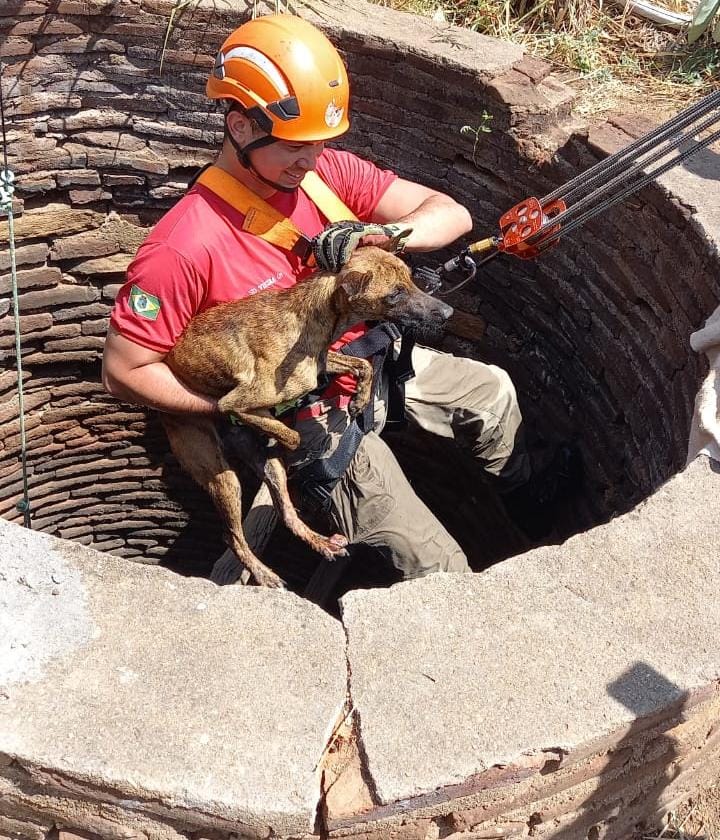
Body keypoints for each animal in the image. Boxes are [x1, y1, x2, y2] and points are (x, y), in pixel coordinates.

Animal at [163, 244, 452, 592]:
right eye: (395, 293)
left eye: (410, 279)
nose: (448, 312)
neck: (312, 315)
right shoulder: (233, 402)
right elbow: (294, 434)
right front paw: (290, 438)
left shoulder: (324, 362)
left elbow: (362, 365)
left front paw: (360, 400)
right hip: (221, 475)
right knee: (232, 535)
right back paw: (264, 573)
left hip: (265, 471)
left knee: (287, 514)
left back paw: (320, 542)